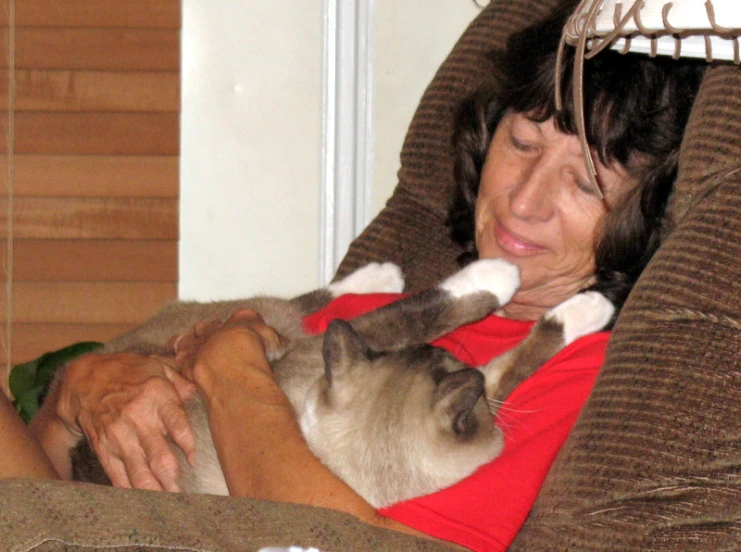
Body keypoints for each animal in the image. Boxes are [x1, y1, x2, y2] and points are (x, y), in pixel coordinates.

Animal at [71, 260, 612, 508]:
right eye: (444, 356)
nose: (463, 361)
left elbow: (507, 366)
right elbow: (429, 312)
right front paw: (578, 303)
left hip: (279, 330)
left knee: (308, 304)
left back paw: (377, 277)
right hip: (273, 326)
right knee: (305, 302)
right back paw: (384, 276)